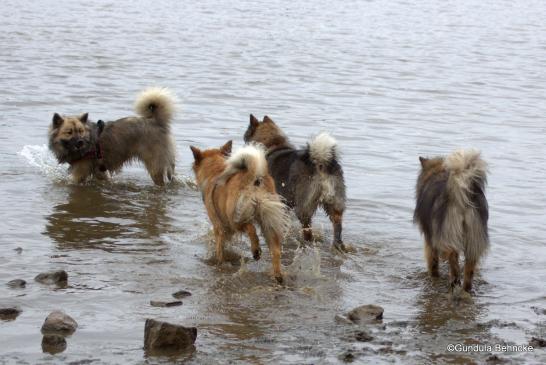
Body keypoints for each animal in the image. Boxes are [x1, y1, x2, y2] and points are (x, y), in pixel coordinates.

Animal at [189, 141, 286, 282]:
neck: (216, 171)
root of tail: (255, 176)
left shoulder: (219, 227)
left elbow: (219, 249)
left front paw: (219, 262)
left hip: (235, 216)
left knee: (250, 228)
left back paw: (256, 251)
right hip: (269, 220)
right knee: (276, 250)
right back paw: (278, 275)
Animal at [242, 115, 344, 252]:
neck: (274, 144)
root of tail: (320, 162)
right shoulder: (284, 203)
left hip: (304, 206)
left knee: (307, 230)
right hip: (335, 203)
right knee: (337, 225)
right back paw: (338, 245)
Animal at [412, 148, 488, 290]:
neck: (437, 173)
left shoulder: (430, 239)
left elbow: (433, 263)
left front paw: (434, 275)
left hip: (448, 233)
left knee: (453, 256)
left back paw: (454, 279)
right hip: (474, 238)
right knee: (469, 268)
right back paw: (465, 287)